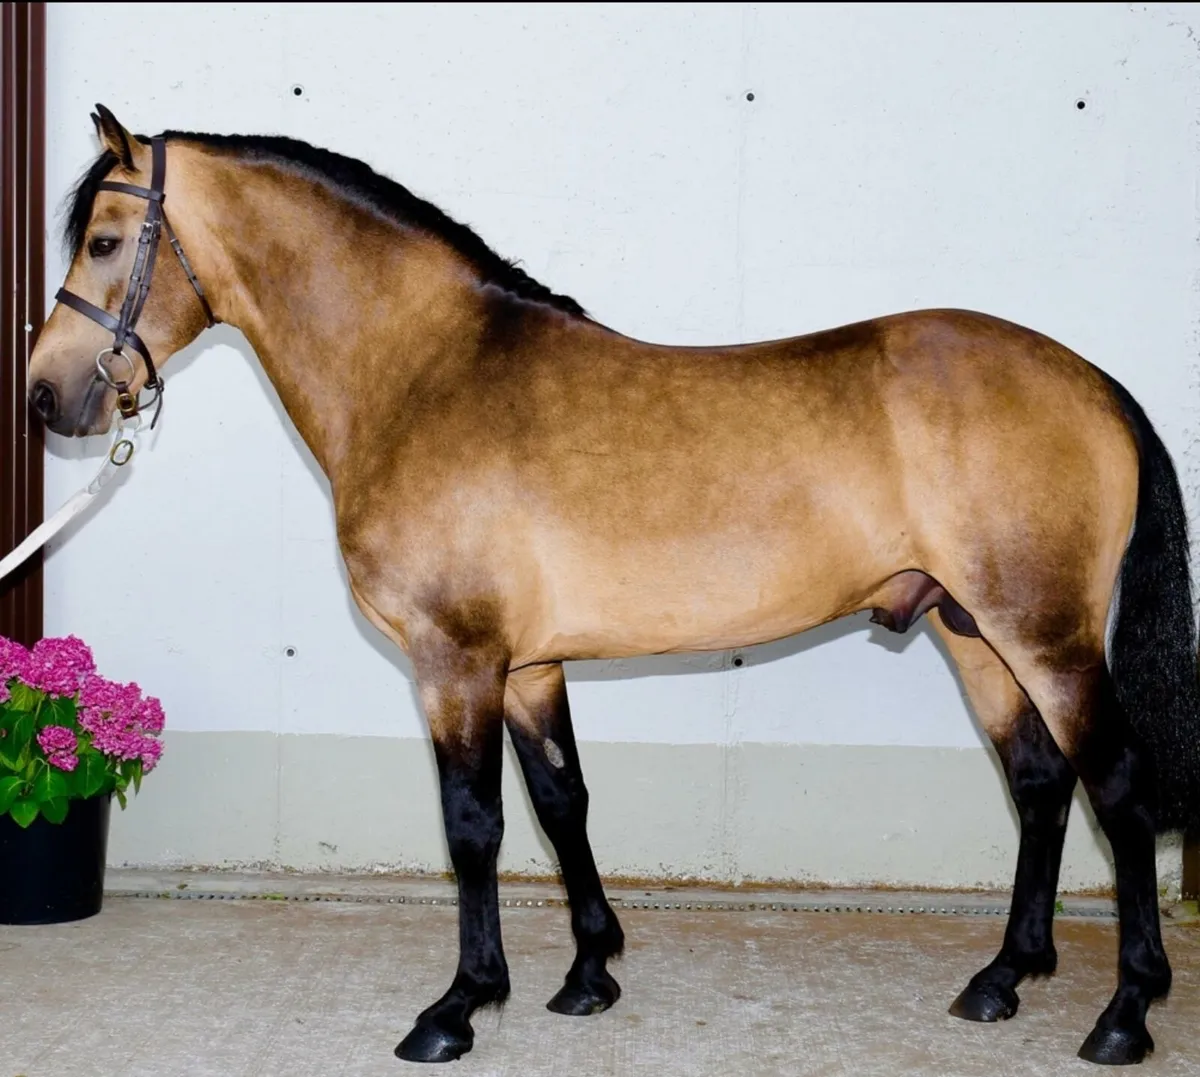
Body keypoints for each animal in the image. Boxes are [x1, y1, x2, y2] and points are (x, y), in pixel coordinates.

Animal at [26, 105, 1200, 1067]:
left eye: (103, 240)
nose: (46, 395)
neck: (424, 375)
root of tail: (1092, 380)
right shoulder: (529, 665)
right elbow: (562, 801)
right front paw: (588, 974)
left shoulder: (455, 661)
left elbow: (473, 823)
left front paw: (457, 1006)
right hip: (973, 631)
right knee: (1041, 784)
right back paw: (1002, 979)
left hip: (1041, 635)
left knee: (1118, 789)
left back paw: (1124, 1014)